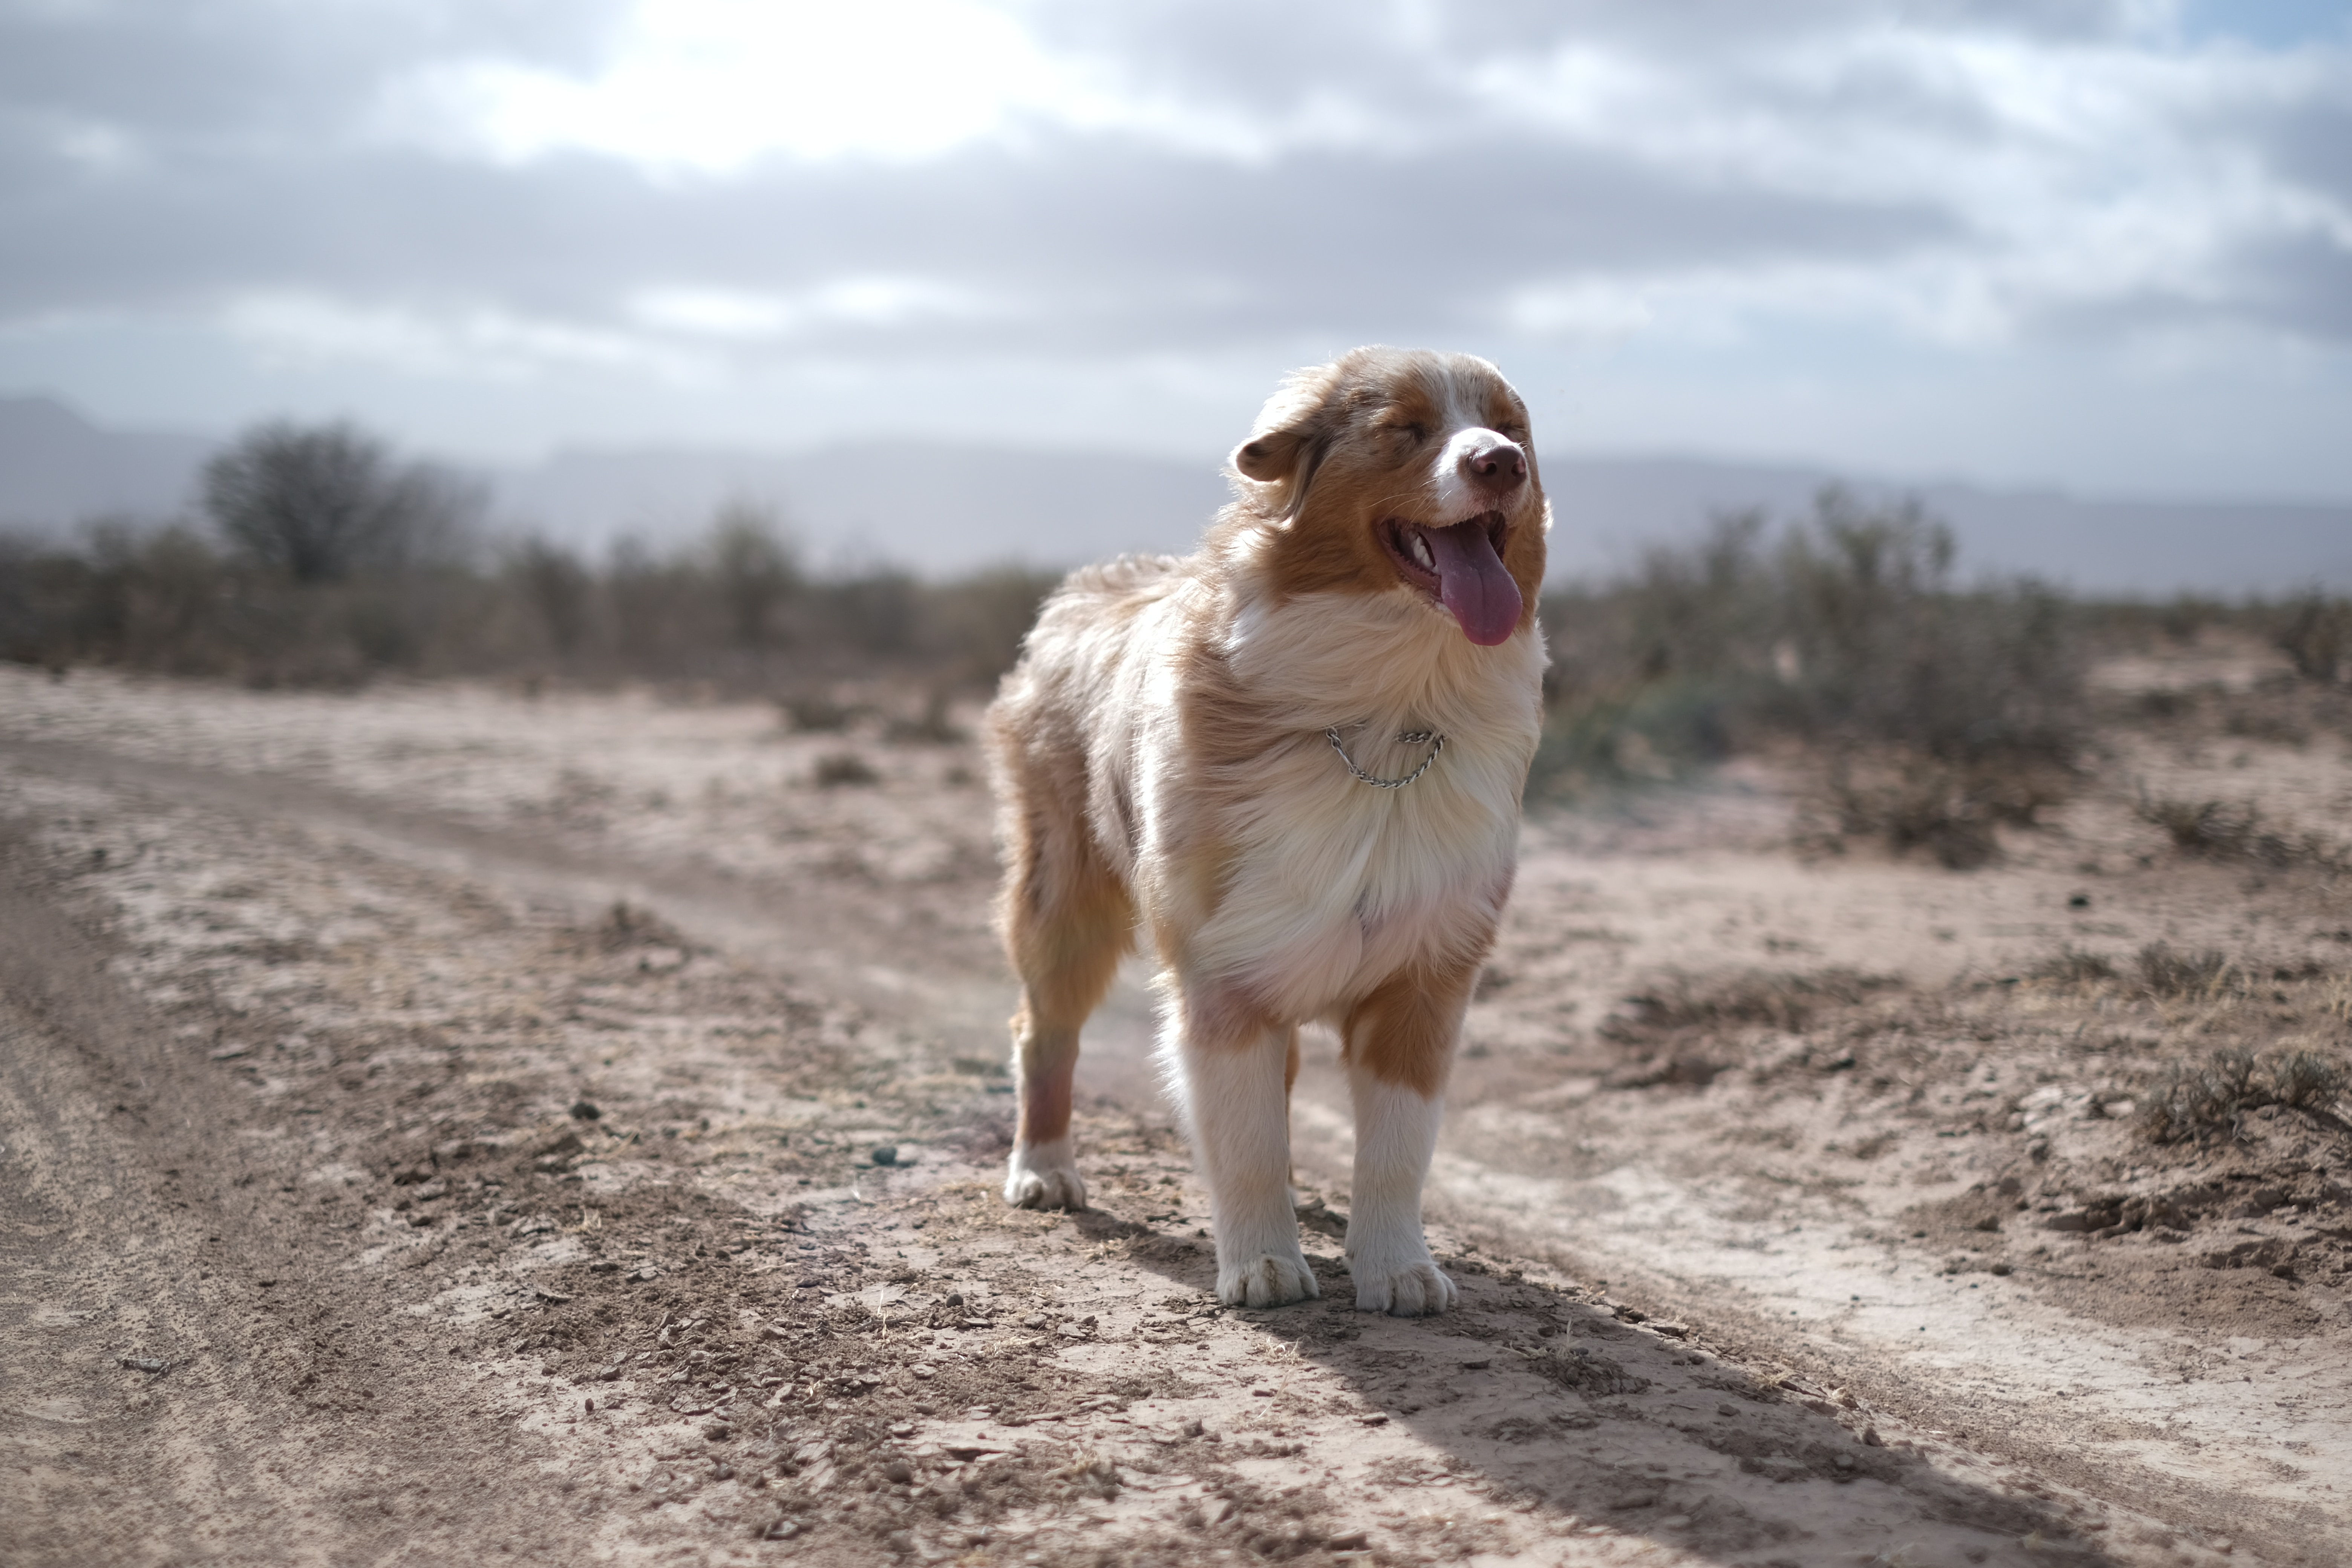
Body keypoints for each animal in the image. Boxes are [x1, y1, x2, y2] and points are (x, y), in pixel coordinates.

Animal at [988, 345, 1552, 1316]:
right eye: (1406, 430)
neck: (1385, 714)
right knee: (1042, 1030)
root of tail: (1086, 585)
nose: (1500, 465)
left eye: (1511, 430)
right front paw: (1260, 1263)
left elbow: (1396, 1151)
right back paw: (1043, 1168)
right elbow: (1246, 1144)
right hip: (1064, 899)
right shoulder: (1224, 975)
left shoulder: (1425, 974)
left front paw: (1398, 1267)